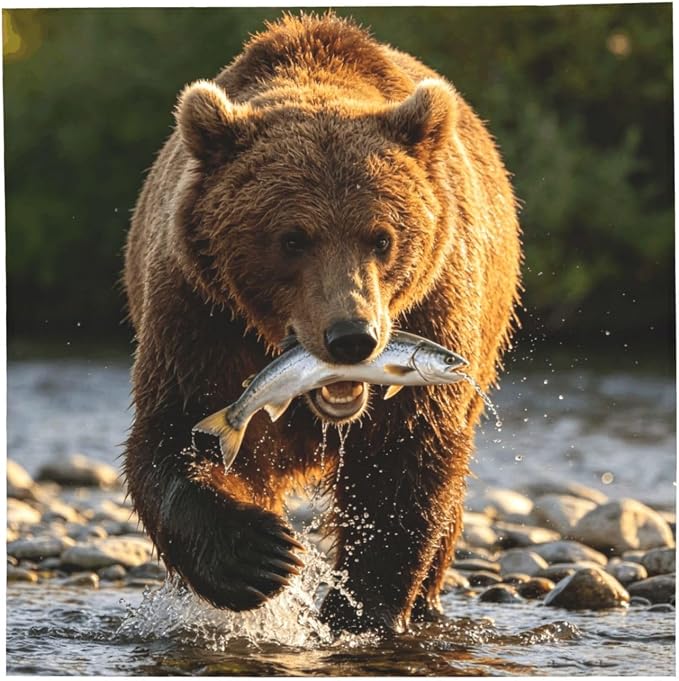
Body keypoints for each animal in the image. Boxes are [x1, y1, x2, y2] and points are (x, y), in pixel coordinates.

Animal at [124, 12, 521, 634]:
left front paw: (360, 611)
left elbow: (404, 465)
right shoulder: (200, 316)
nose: (352, 337)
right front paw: (260, 556)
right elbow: (175, 430)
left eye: (382, 237)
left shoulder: (436, 311)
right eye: (292, 239)